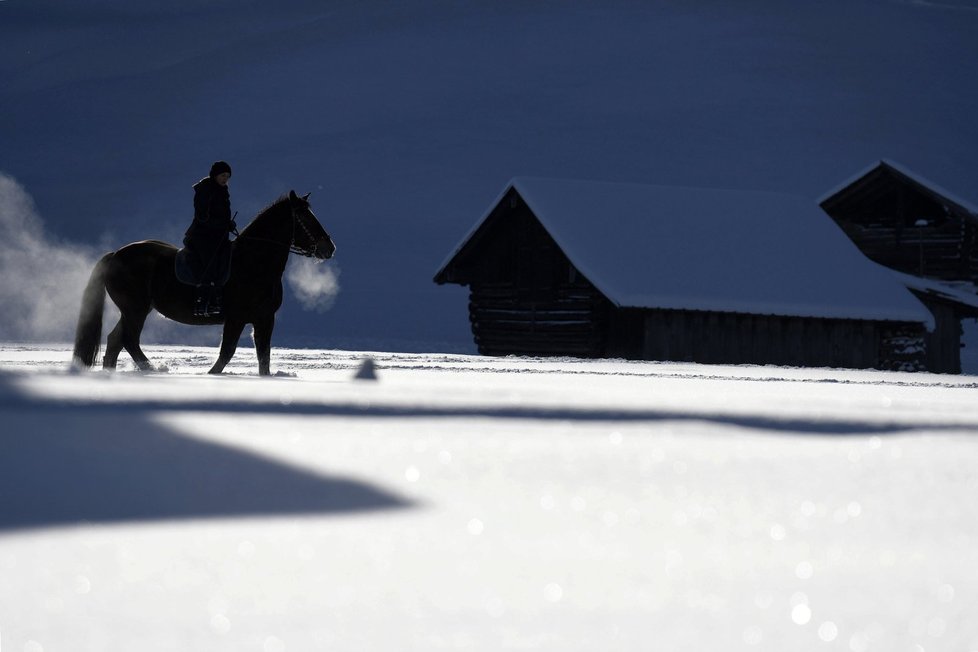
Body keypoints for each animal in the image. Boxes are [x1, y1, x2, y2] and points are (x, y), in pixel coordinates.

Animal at [70, 188, 334, 374]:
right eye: (304, 217)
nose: (329, 248)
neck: (253, 262)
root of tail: (115, 254)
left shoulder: (264, 319)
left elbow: (264, 359)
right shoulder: (236, 318)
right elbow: (226, 353)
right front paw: (211, 374)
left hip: (133, 310)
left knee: (115, 341)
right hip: (135, 309)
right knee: (129, 340)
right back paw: (153, 369)